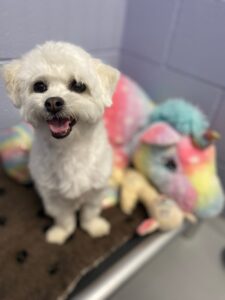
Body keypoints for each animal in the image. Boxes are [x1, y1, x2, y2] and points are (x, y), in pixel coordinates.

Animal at [2, 41, 119, 244]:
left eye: (78, 85)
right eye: (40, 86)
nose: (53, 102)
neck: (69, 148)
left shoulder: (95, 190)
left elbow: (90, 212)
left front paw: (94, 227)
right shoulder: (53, 197)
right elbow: (64, 218)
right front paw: (60, 233)